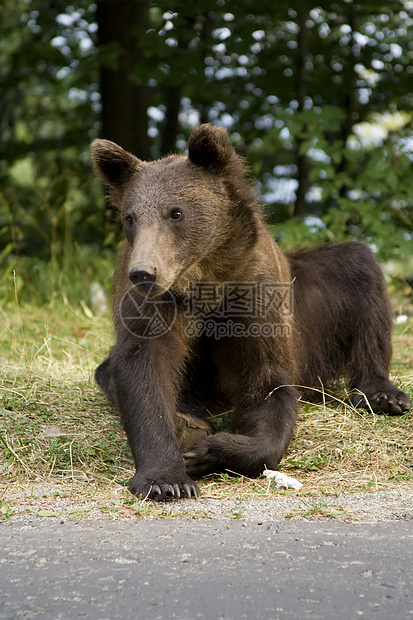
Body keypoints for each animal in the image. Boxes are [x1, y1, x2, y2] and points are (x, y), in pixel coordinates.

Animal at [91, 123, 410, 502]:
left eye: (176, 212)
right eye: (130, 217)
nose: (143, 273)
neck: (205, 278)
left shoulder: (254, 295)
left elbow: (267, 384)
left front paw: (210, 450)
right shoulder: (154, 306)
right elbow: (143, 368)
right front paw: (167, 477)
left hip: (310, 301)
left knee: (358, 266)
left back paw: (383, 394)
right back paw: (188, 418)